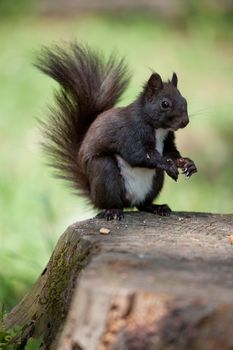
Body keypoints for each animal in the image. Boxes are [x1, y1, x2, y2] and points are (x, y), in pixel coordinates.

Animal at [36, 42, 197, 220]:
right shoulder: (130, 133)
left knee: (142, 205)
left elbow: (170, 152)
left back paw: (156, 207)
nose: (185, 122)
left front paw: (186, 163)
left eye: (184, 100)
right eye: (165, 104)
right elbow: (138, 155)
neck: (159, 129)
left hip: (156, 180)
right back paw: (112, 210)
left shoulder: (168, 139)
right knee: (111, 201)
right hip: (105, 172)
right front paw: (168, 164)